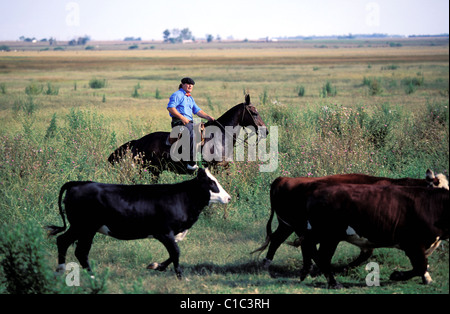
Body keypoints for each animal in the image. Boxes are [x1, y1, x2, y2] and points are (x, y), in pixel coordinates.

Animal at [47, 168, 230, 278]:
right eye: (212, 183)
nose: (228, 197)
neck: (182, 197)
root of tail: (78, 183)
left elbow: (173, 254)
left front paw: (157, 266)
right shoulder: (164, 232)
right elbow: (176, 252)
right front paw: (180, 277)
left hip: (82, 227)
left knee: (66, 243)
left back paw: (64, 271)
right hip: (84, 227)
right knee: (77, 249)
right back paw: (89, 275)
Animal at [108, 94, 268, 177]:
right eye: (254, 113)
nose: (265, 131)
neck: (220, 138)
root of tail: (138, 142)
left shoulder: (224, 166)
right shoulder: (214, 167)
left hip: (155, 171)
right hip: (148, 169)